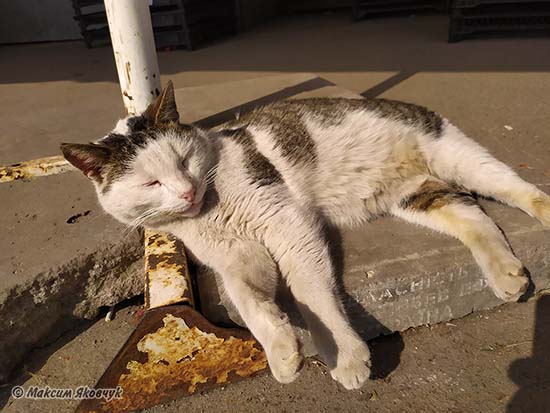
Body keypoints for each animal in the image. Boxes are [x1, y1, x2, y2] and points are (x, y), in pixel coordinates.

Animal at [61, 81, 550, 390]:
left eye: (183, 159)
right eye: (151, 183)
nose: (186, 190)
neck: (212, 212)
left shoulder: (288, 224)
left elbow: (309, 291)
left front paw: (344, 355)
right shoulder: (235, 256)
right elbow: (248, 301)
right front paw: (281, 349)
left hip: (459, 157)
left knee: (522, 191)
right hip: (417, 196)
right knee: (476, 217)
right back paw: (506, 274)